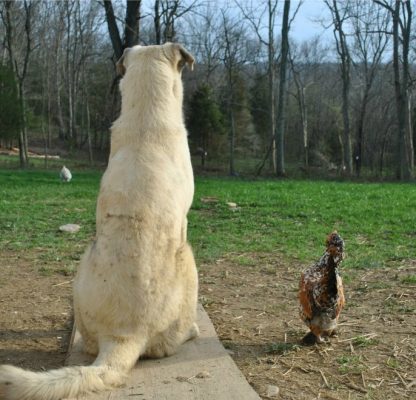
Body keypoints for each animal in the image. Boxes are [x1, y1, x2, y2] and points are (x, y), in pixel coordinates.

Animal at [0, 43, 198, 400]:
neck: (145, 118)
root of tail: (124, 336)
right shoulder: (185, 222)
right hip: (189, 259)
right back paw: (191, 330)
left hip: (81, 273)